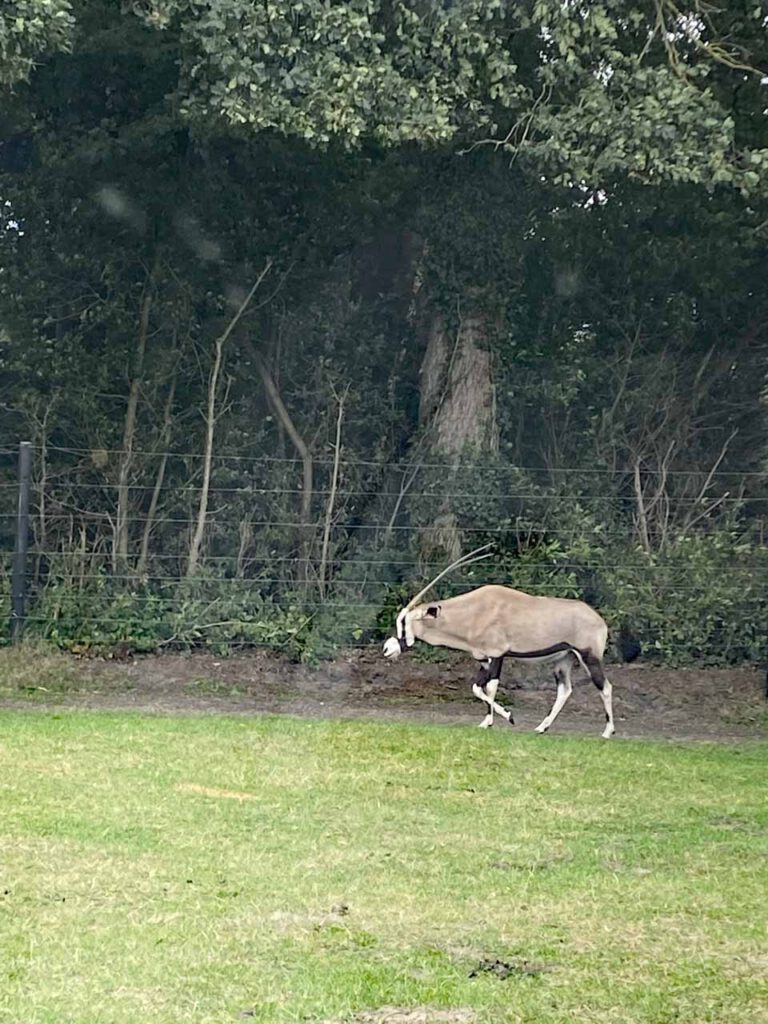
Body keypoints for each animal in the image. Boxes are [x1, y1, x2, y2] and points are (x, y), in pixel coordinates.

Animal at [385, 548, 618, 741]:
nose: (387, 649)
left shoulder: (497, 656)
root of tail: (599, 619)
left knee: (605, 687)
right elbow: (477, 688)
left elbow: (490, 687)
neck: (474, 612)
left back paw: (607, 732)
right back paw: (541, 728)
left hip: (589, 656)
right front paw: (489, 721)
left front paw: (503, 718)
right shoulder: (483, 659)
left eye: (404, 623)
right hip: (563, 660)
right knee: (565, 690)